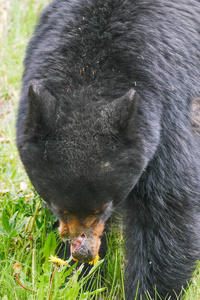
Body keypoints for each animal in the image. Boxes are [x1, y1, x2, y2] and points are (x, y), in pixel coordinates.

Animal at [16, 1, 200, 298]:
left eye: (104, 206)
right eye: (57, 206)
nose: (83, 253)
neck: (88, 74)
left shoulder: (168, 113)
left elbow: (167, 210)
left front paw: (148, 291)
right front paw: (79, 280)